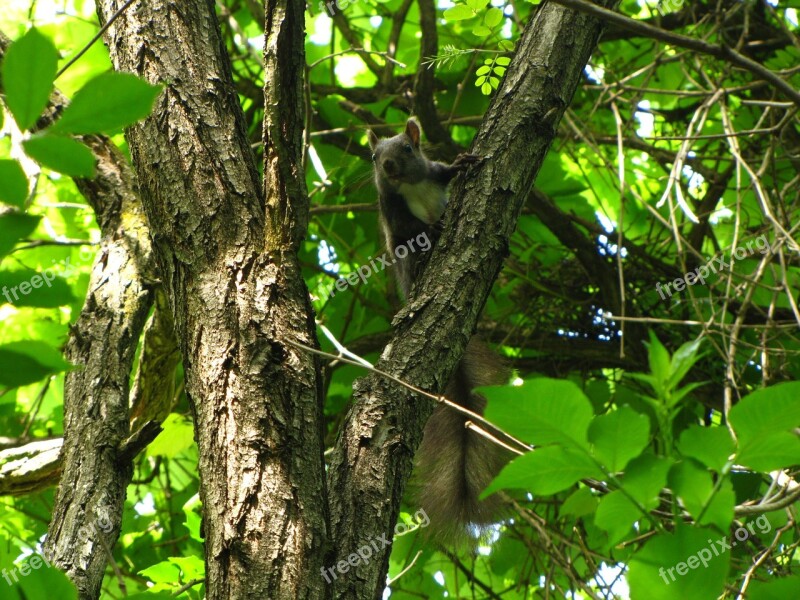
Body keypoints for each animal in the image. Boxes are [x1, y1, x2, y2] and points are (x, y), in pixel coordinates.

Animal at [368, 118, 510, 548]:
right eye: (374, 157)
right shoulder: (394, 212)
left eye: (407, 149)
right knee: (410, 252)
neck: (409, 187)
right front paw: (433, 226)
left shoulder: (431, 174)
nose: (389, 167)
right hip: (404, 260)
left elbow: (445, 172)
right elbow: (411, 227)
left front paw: (462, 162)